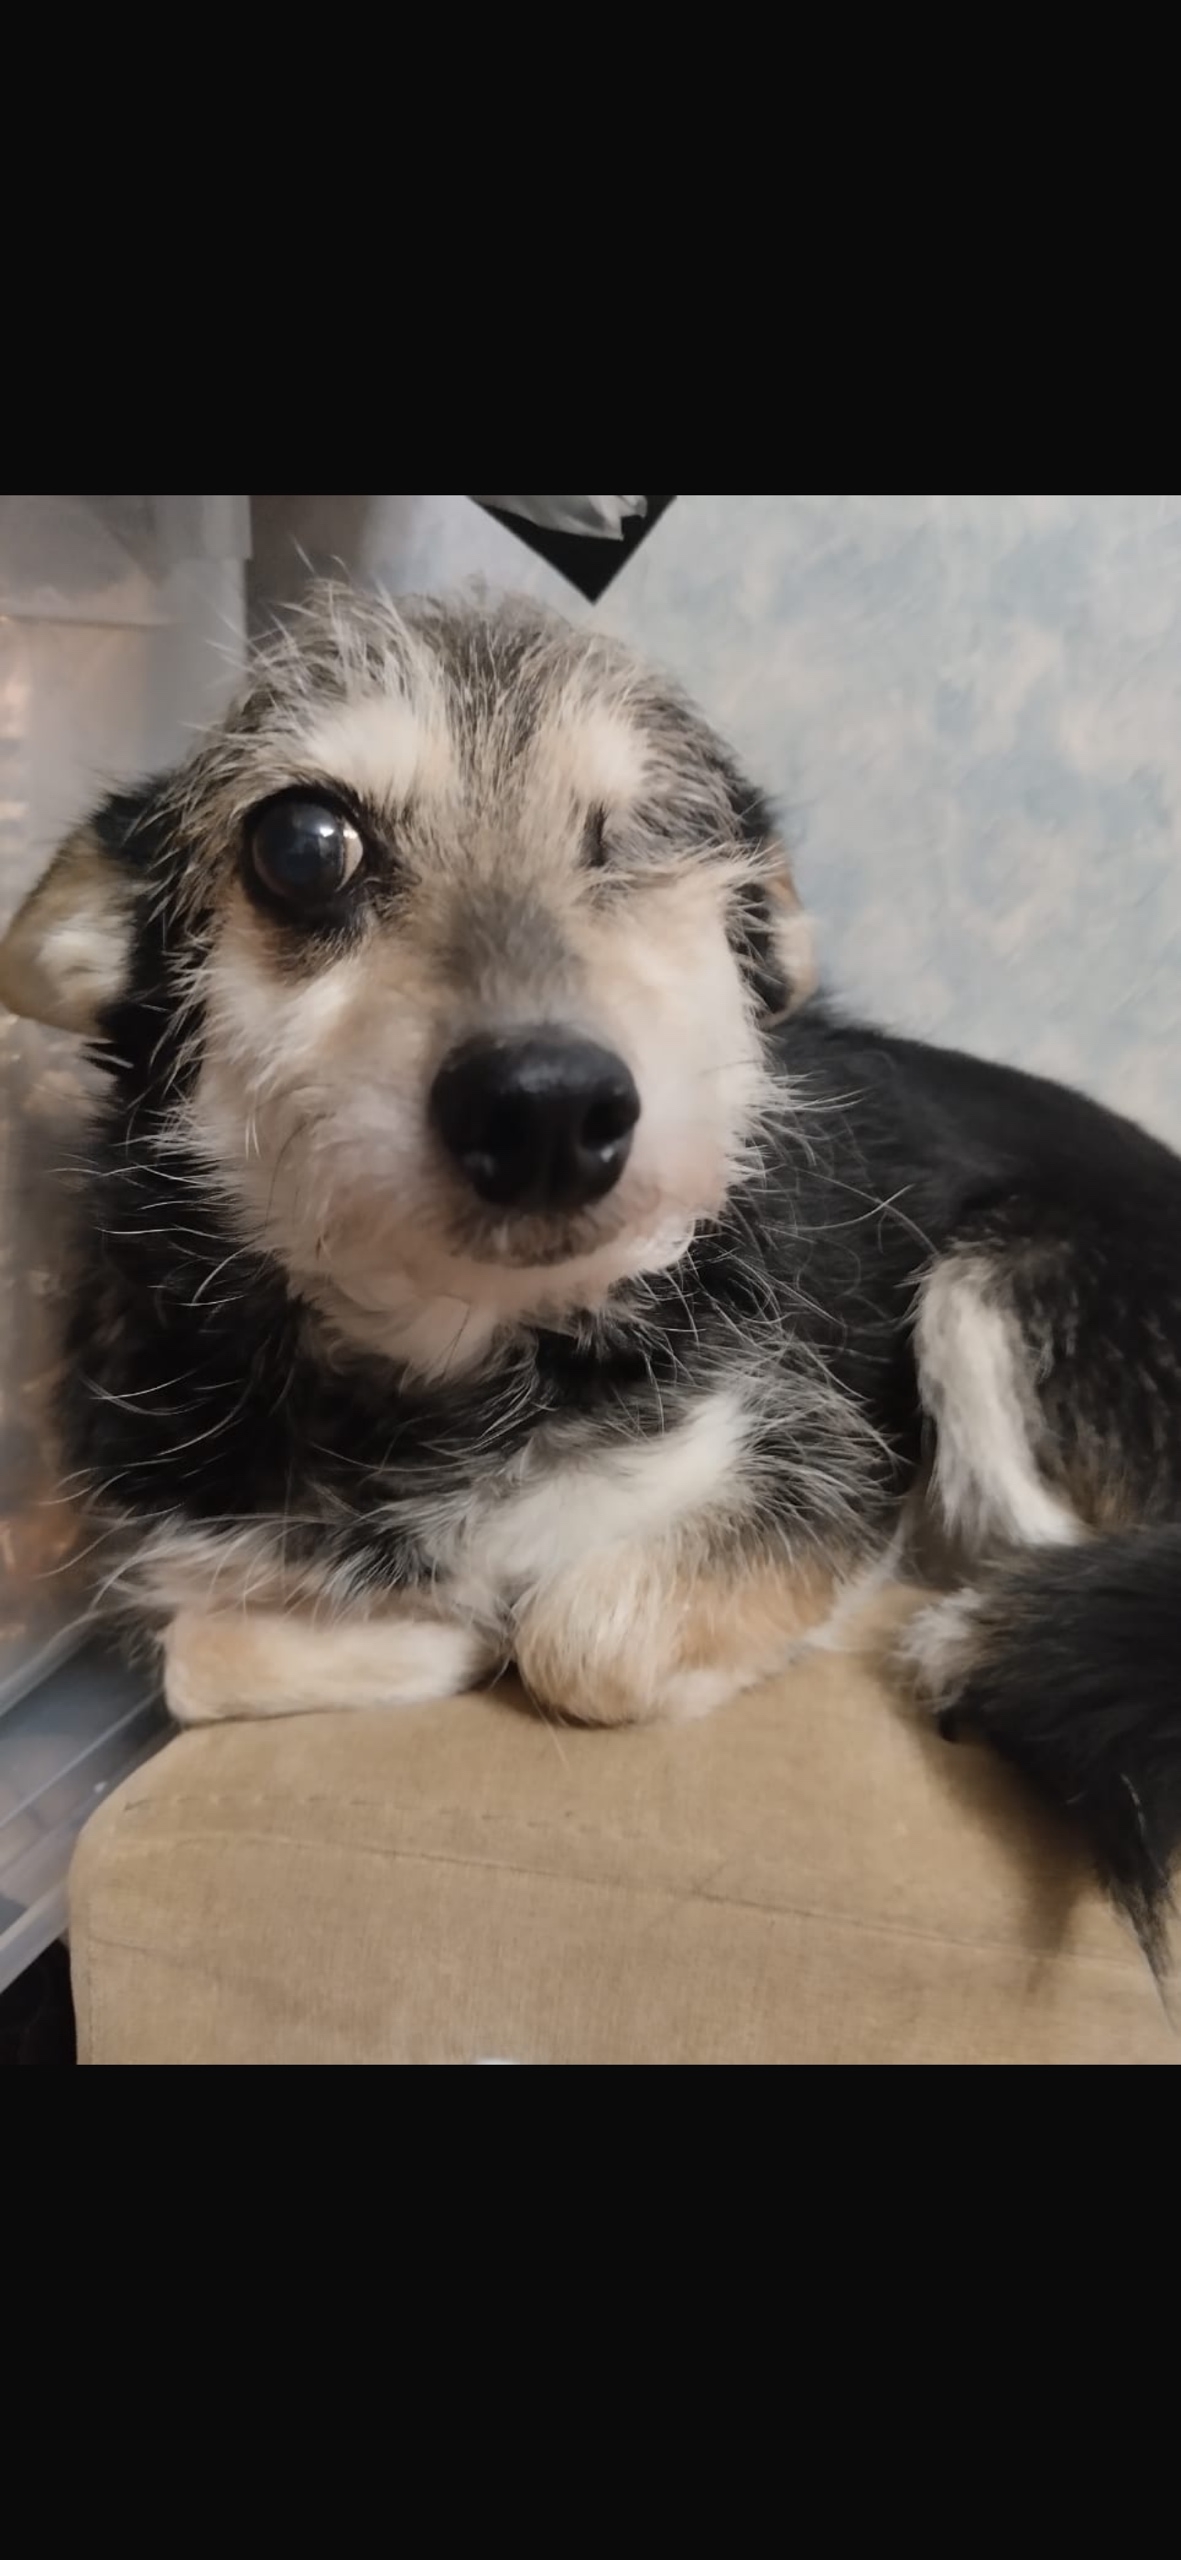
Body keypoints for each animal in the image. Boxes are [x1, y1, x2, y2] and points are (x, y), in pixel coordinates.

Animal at [2, 588, 1179, 1964]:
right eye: (301, 843)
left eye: (656, 839)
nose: (546, 1109)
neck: (454, 1369)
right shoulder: (180, 1545)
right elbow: (195, 1655)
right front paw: (427, 1628)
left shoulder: (835, 1467)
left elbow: (576, 1636)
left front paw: (481, 1629)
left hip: (995, 1292)